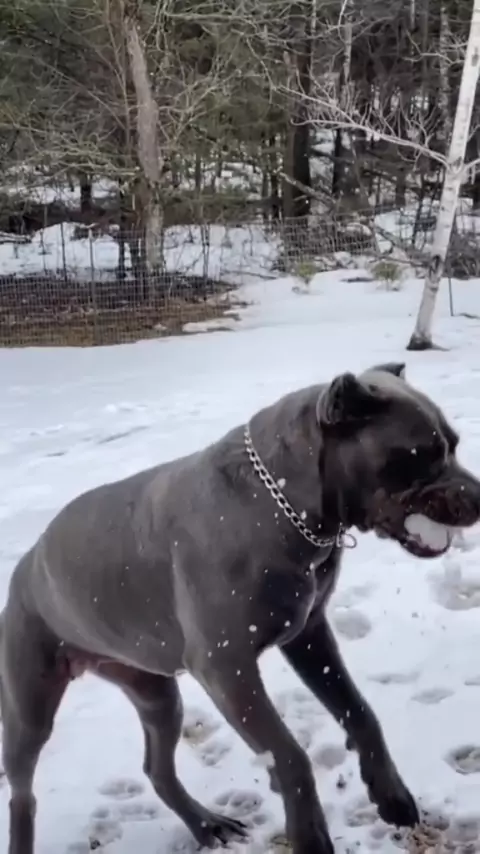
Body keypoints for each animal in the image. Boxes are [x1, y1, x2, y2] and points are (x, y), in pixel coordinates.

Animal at [1, 362, 479, 854]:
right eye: (423, 453)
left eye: (454, 443)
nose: (479, 497)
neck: (281, 504)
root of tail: (27, 562)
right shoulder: (226, 668)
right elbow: (288, 754)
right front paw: (309, 837)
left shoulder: (309, 636)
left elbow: (360, 711)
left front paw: (391, 796)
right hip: (29, 707)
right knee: (22, 792)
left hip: (156, 695)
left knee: (157, 769)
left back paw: (207, 825)